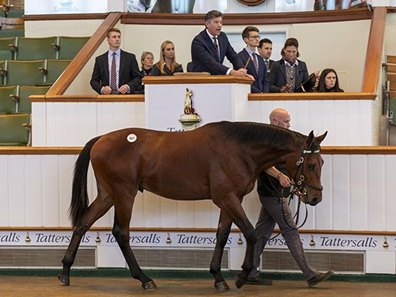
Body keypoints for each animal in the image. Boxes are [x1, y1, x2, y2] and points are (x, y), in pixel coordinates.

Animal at [57, 119, 326, 290]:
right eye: (312, 164)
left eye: (322, 162)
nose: (315, 198)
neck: (239, 149)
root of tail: (101, 139)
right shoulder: (226, 197)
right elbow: (251, 234)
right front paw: (241, 275)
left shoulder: (231, 199)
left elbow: (222, 235)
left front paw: (218, 277)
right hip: (124, 194)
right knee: (120, 233)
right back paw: (144, 278)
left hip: (108, 195)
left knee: (82, 224)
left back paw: (65, 272)